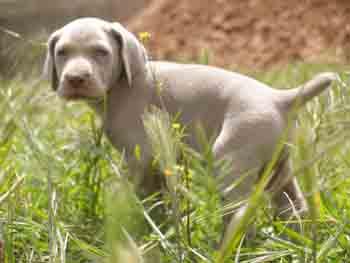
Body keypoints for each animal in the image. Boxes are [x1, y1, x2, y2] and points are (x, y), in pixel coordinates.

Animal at [43, 17, 336, 245]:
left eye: (101, 52)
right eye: (62, 52)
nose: (75, 79)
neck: (124, 84)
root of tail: (281, 98)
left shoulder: (140, 158)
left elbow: (137, 195)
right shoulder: (157, 165)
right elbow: (157, 201)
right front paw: (157, 228)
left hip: (231, 162)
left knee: (240, 214)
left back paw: (229, 247)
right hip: (280, 169)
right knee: (294, 207)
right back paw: (297, 242)